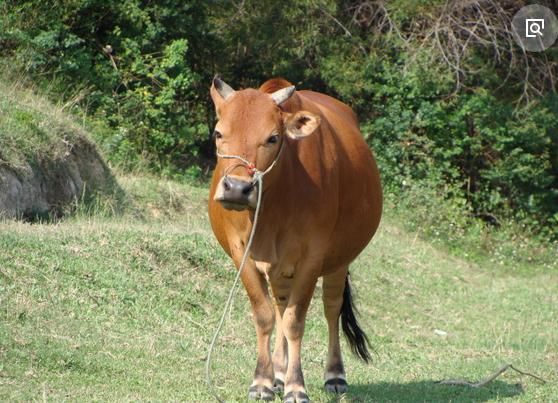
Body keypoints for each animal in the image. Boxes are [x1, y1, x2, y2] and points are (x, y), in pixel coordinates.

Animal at [208, 76, 382, 403]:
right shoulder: (242, 253)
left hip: (339, 261)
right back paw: (278, 371)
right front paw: (263, 380)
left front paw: (296, 386)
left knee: (331, 307)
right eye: (218, 133)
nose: (237, 188)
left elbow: (295, 320)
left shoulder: (312, 258)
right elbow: (265, 315)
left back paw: (334, 375)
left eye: (273, 138)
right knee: (279, 304)